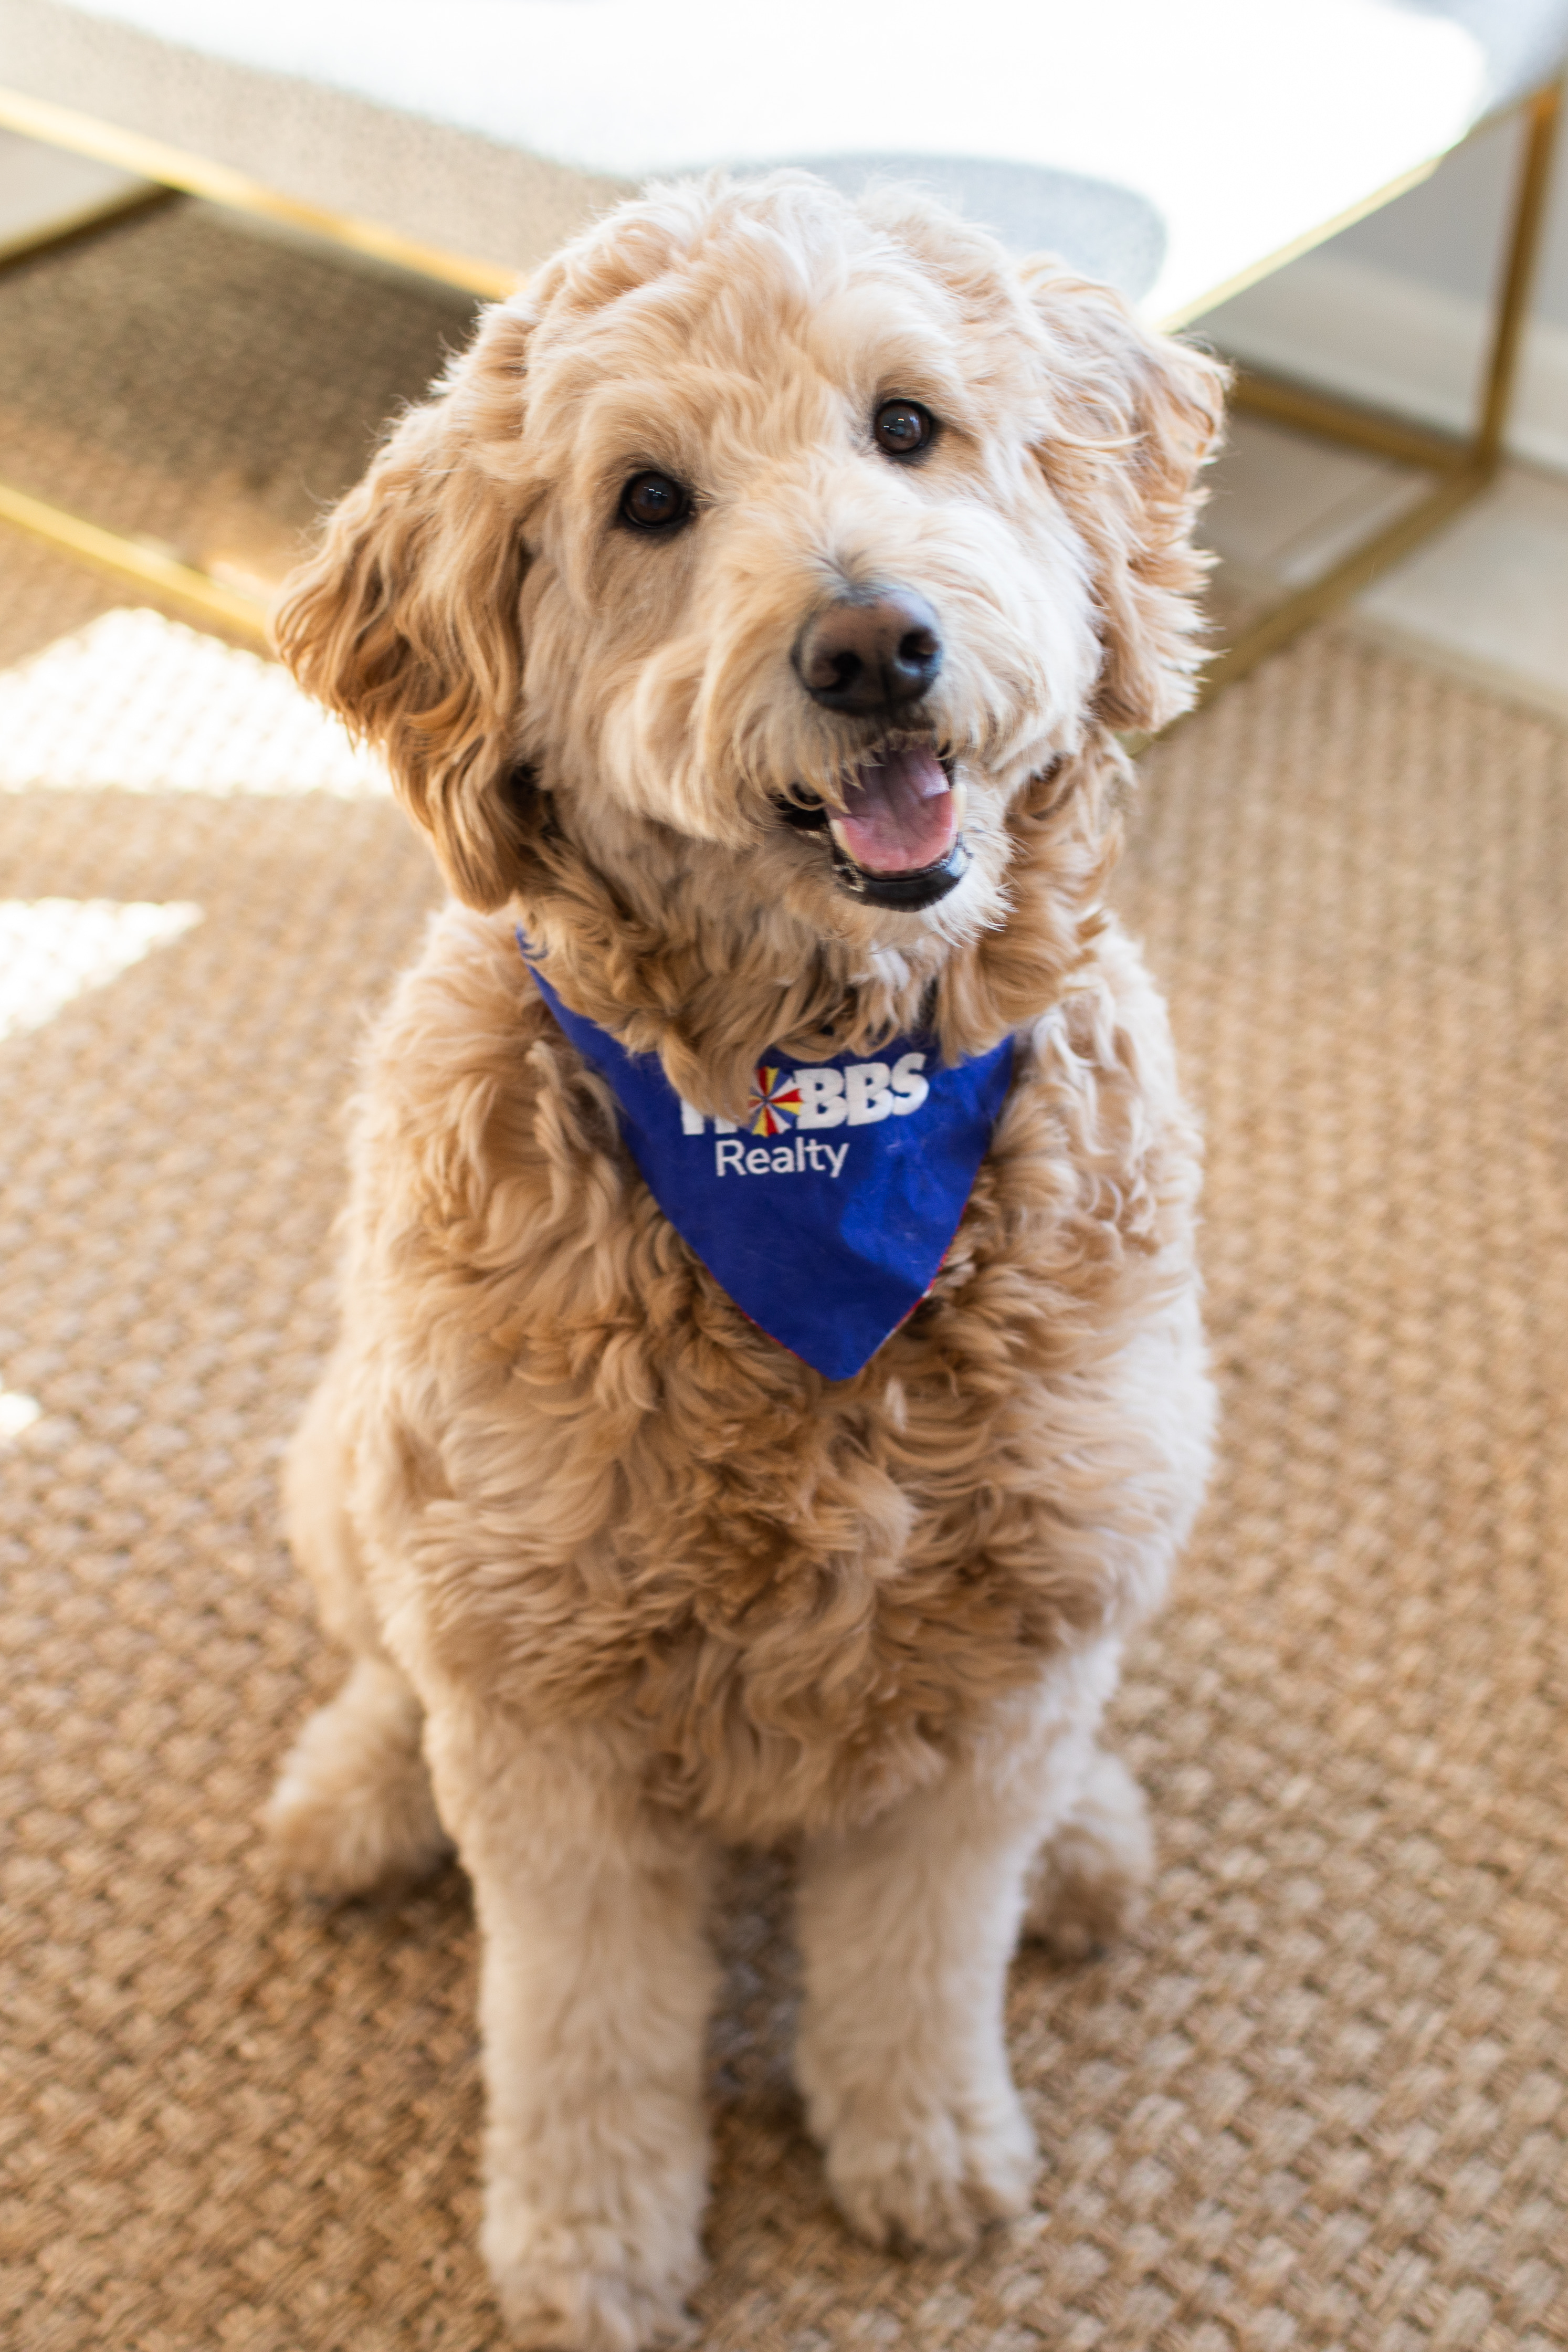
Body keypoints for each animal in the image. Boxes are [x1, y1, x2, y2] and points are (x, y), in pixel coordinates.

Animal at [267, 170, 1222, 2352]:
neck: (817, 1104)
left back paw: (1094, 1839)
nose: (872, 643)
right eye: (645, 502)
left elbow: (923, 1956)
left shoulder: (1006, 1649)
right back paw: (356, 1794)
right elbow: (580, 2024)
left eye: (905, 425)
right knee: (377, 1653)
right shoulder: (539, 1708)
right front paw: (589, 2246)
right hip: (357, 1467)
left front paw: (921, 2147)